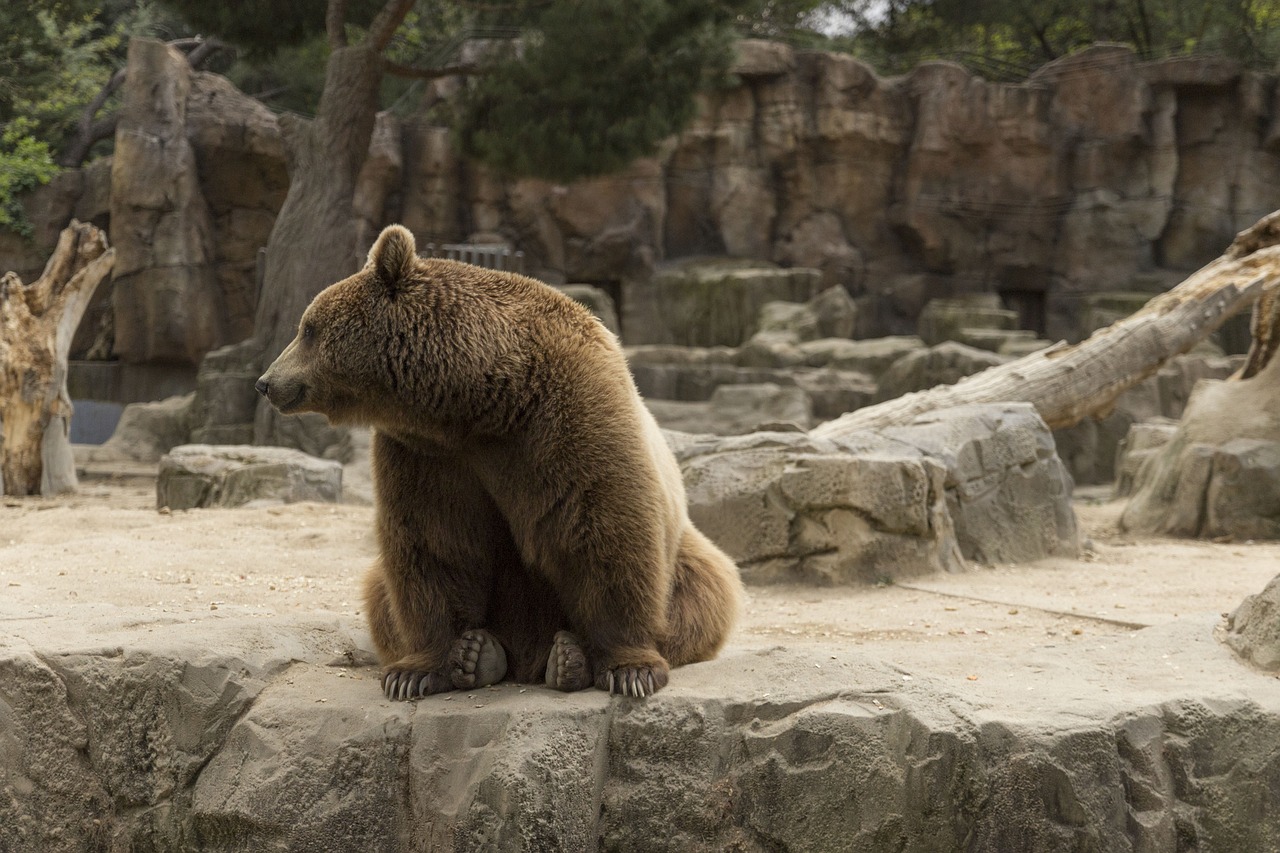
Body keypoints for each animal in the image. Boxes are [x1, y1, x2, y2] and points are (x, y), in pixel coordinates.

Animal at [256, 222, 747, 696]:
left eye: (307, 328)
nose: (266, 382)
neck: (482, 399)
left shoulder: (569, 416)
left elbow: (603, 526)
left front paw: (631, 669)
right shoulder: (427, 453)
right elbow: (434, 542)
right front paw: (423, 668)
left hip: (686, 555)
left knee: (703, 589)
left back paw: (567, 658)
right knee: (380, 591)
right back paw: (488, 656)